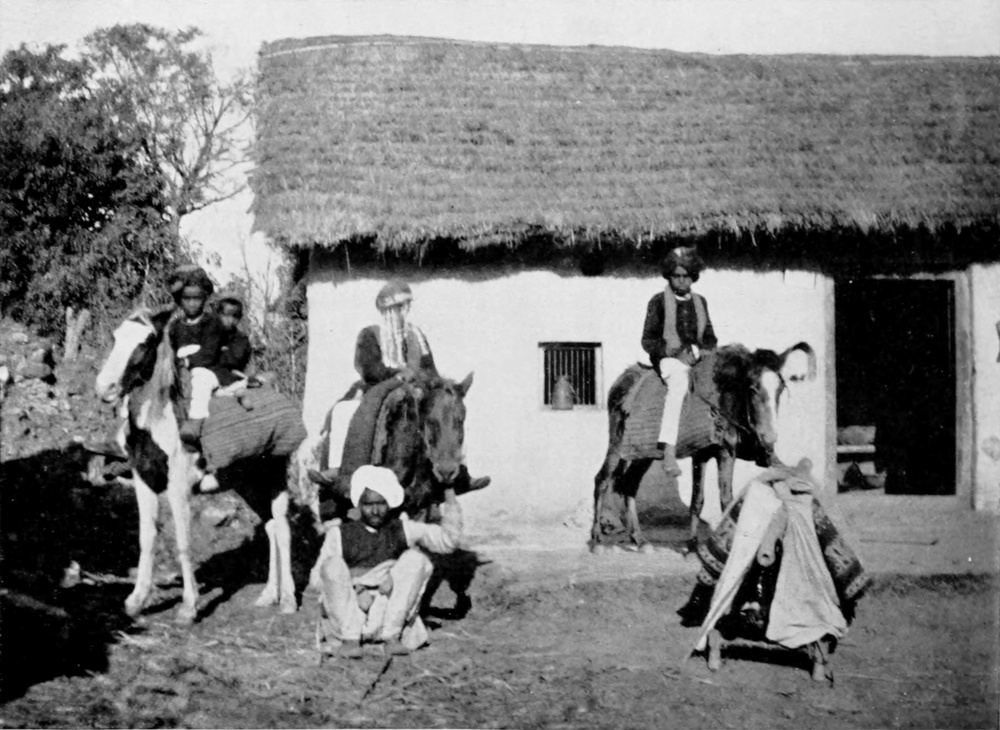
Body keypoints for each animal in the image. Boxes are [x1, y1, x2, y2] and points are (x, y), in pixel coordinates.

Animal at [95, 308, 304, 624]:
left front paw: (189, 606)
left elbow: (184, 543)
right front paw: (135, 601)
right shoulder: (144, 483)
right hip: (247, 484)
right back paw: (269, 595)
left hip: (274, 477)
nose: (104, 387)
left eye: (144, 344)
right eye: (116, 336)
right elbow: (146, 538)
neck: (159, 423)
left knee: (282, 529)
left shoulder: (179, 489)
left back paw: (288, 599)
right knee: (269, 527)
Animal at [590, 342, 816, 554]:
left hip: (643, 453)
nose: (769, 438)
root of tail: (623, 381)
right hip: (617, 446)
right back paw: (596, 541)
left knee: (629, 485)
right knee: (602, 480)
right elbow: (705, 499)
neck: (720, 398)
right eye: (752, 388)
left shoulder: (726, 453)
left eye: (780, 388)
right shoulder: (707, 455)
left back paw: (639, 540)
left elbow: (719, 499)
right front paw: (695, 546)